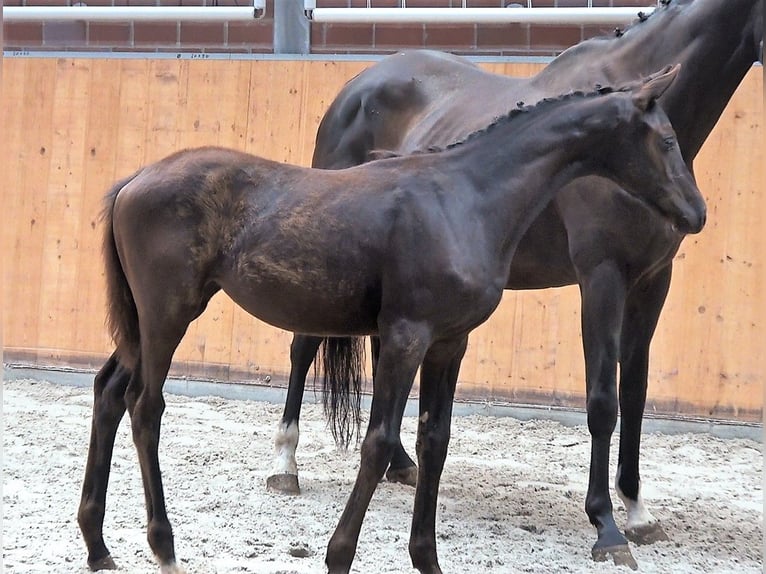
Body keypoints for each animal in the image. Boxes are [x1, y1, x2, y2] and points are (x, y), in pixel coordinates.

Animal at [75, 66, 704, 572]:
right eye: (668, 139)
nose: (695, 214)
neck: (467, 197)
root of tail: (132, 181)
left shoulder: (450, 342)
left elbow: (434, 441)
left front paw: (426, 559)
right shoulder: (406, 336)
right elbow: (377, 444)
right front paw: (339, 556)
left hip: (143, 322)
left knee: (109, 391)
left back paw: (98, 545)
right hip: (168, 314)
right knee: (144, 406)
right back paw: (163, 547)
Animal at [270, 0, 760, 568]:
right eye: (663, 140)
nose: (697, 212)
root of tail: (356, 85)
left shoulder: (652, 280)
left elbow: (635, 394)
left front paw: (637, 510)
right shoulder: (602, 276)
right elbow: (603, 401)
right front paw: (606, 525)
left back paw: (399, 463)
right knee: (303, 346)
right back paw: (284, 462)